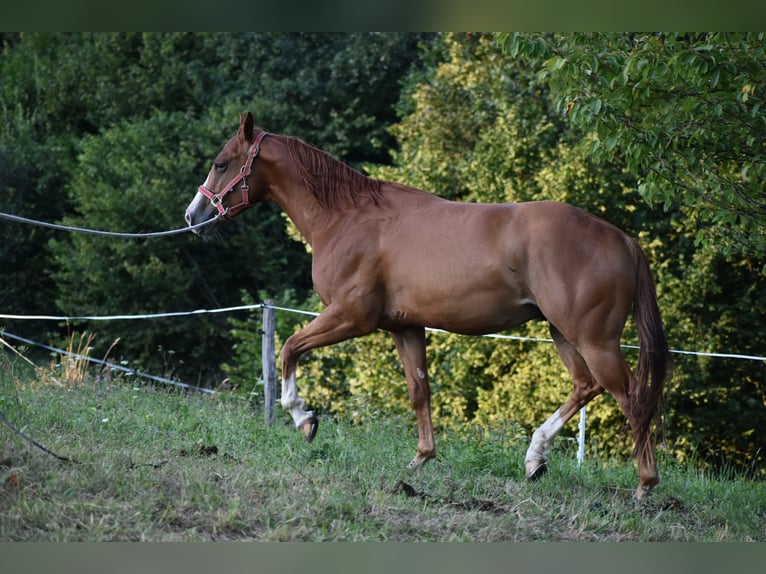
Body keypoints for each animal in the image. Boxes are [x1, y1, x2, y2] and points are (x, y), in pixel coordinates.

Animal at [186, 112, 672, 500]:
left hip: (592, 339)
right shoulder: (405, 328)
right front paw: (421, 458)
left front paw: (303, 418)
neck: (348, 218)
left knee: (630, 398)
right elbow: (419, 391)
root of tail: (623, 240)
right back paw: (535, 457)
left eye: (221, 163)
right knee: (586, 386)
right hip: (563, 332)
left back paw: (644, 486)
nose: (193, 217)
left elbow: (289, 348)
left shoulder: (350, 317)